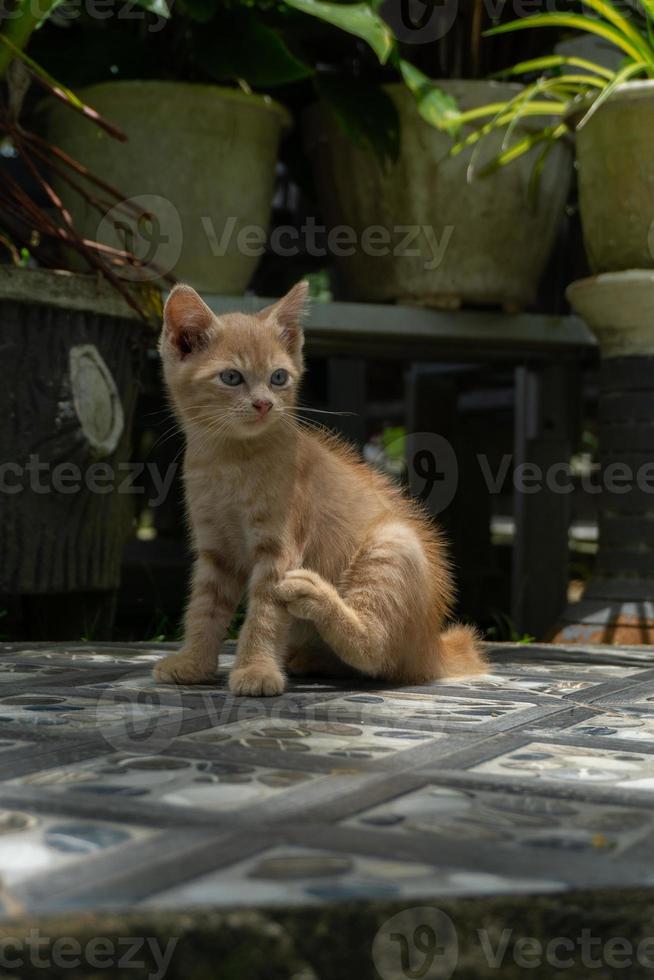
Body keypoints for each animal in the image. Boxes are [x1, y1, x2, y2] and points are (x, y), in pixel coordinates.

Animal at [152, 280, 482, 692]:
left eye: (278, 377)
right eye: (231, 377)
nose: (264, 404)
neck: (230, 461)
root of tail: (431, 647)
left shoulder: (279, 551)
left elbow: (264, 613)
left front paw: (256, 670)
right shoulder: (216, 551)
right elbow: (204, 608)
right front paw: (193, 662)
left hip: (392, 544)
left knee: (376, 652)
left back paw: (315, 596)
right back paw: (308, 658)